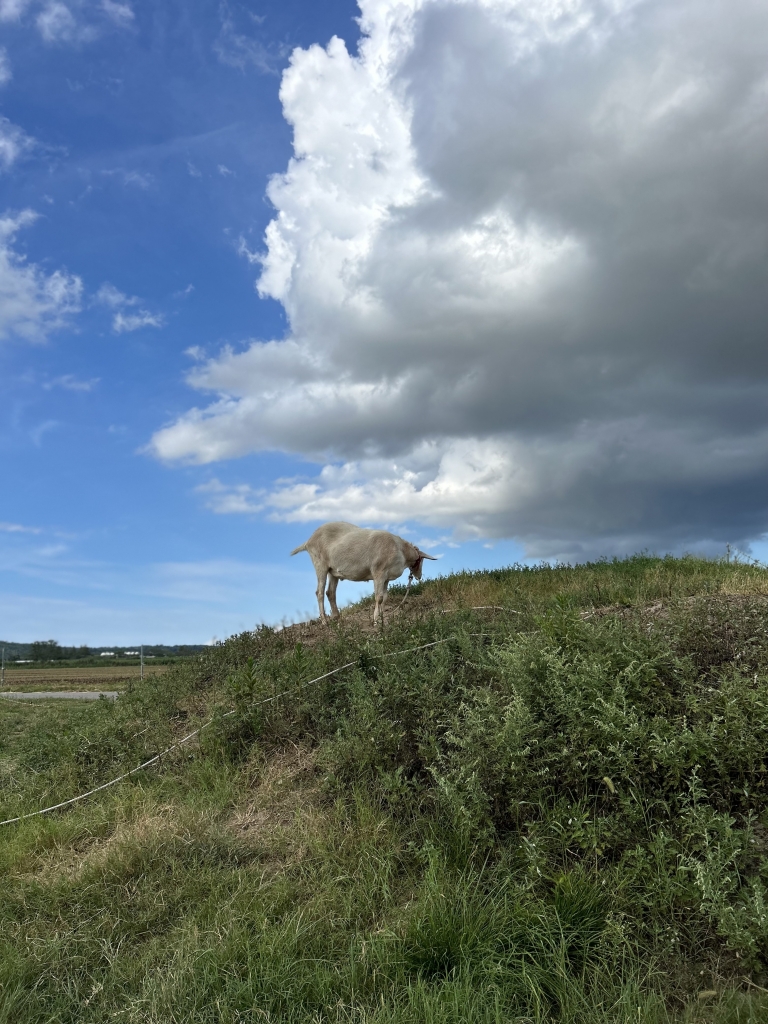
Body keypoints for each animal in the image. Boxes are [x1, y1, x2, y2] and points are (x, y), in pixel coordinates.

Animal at [290, 520, 438, 622]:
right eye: (421, 560)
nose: (419, 576)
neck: (401, 550)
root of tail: (308, 541)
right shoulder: (379, 572)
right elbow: (378, 597)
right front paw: (376, 620)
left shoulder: (386, 578)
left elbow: (385, 597)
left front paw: (382, 617)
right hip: (320, 564)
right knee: (319, 592)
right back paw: (325, 621)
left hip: (333, 571)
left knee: (330, 592)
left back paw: (337, 618)